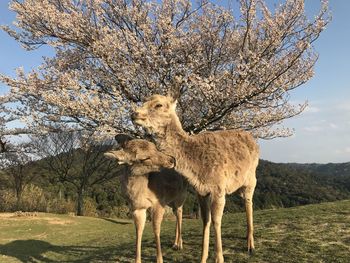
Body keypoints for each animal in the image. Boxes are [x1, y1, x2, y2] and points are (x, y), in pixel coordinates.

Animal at [131, 94, 260, 262]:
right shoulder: (201, 191)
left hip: (251, 178)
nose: (134, 114)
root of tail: (253, 140)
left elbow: (217, 221)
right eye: (144, 101)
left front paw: (219, 258)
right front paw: (203, 257)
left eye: (158, 105)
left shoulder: (219, 188)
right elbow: (205, 221)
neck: (198, 169)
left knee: (249, 202)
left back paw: (251, 245)